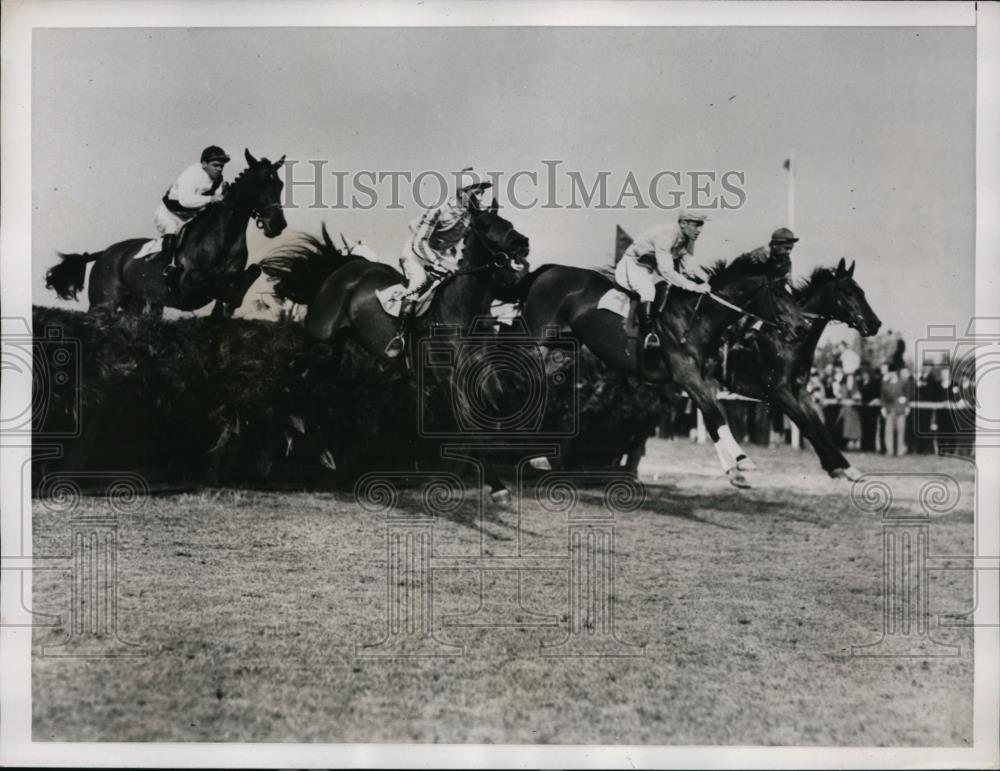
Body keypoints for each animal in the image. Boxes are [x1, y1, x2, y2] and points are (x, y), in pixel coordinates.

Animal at [45, 149, 288, 318]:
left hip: (139, 306)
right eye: (261, 183)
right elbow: (218, 282)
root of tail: (105, 253)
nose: (278, 225)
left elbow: (251, 272)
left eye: (280, 184)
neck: (223, 239)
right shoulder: (187, 283)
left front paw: (230, 302)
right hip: (102, 303)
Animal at [264, 199, 532, 500]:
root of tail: (347, 267)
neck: (460, 310)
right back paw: (290, 428)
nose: (523, 244)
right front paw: (497, 485)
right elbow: (467, 421)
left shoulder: (482, 370)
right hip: (321, 341)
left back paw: (321, 450)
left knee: (317, 387)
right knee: (299, 378)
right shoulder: (447, 378)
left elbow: (500, 405)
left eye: (508, 223)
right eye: (486, 225)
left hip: (335, 349)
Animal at [516, 253, 812, 486]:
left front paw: (734, 469)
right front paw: (743, 460)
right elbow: (715, 415)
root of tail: (550, 269)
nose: (802, 328)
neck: (697, 319)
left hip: (559, 349)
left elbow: (712, 418)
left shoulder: (700, 381)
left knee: (539, 383)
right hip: (536, 339)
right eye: (779, 293)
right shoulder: (686, 376)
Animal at [724, 256, 880, 480]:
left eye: (862, 292)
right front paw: (836, 466)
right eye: (848, 291)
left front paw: (844, 467)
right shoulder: (779, 393)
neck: (789, 342)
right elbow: (808, 427)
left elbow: (820, 428)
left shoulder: (801, 392)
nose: (875, 323)